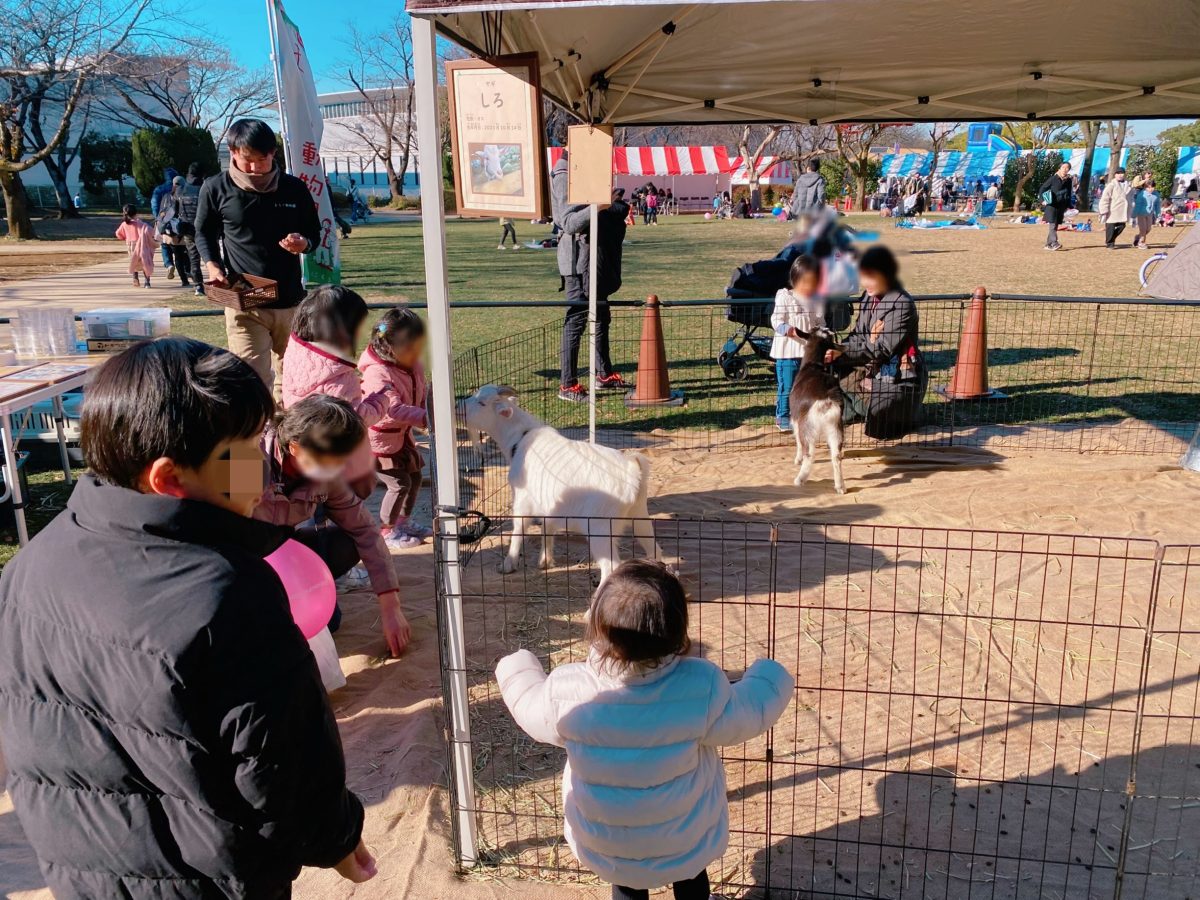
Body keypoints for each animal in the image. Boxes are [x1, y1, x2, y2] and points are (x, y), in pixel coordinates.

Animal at [460, 381, 667, 580]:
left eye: (482, 403)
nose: (458, 406)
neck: (520, 439)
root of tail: (633, 468)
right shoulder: (547, 501)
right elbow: (547, 526)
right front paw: (545, 560)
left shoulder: (522, 498)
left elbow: (519, 528)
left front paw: (508, 564)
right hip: (639, 515)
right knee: (655, 551)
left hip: (600, 527)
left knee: (611, 567)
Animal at [787, 328, 844, 494]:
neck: (812, 366)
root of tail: (826, 398)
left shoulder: (795, 418)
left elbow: (797, 440)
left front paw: (797, 459)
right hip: (836, 426)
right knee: (836, 455)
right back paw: (840, 487)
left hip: (807, 426)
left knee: (809, 452)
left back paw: (800, 479)